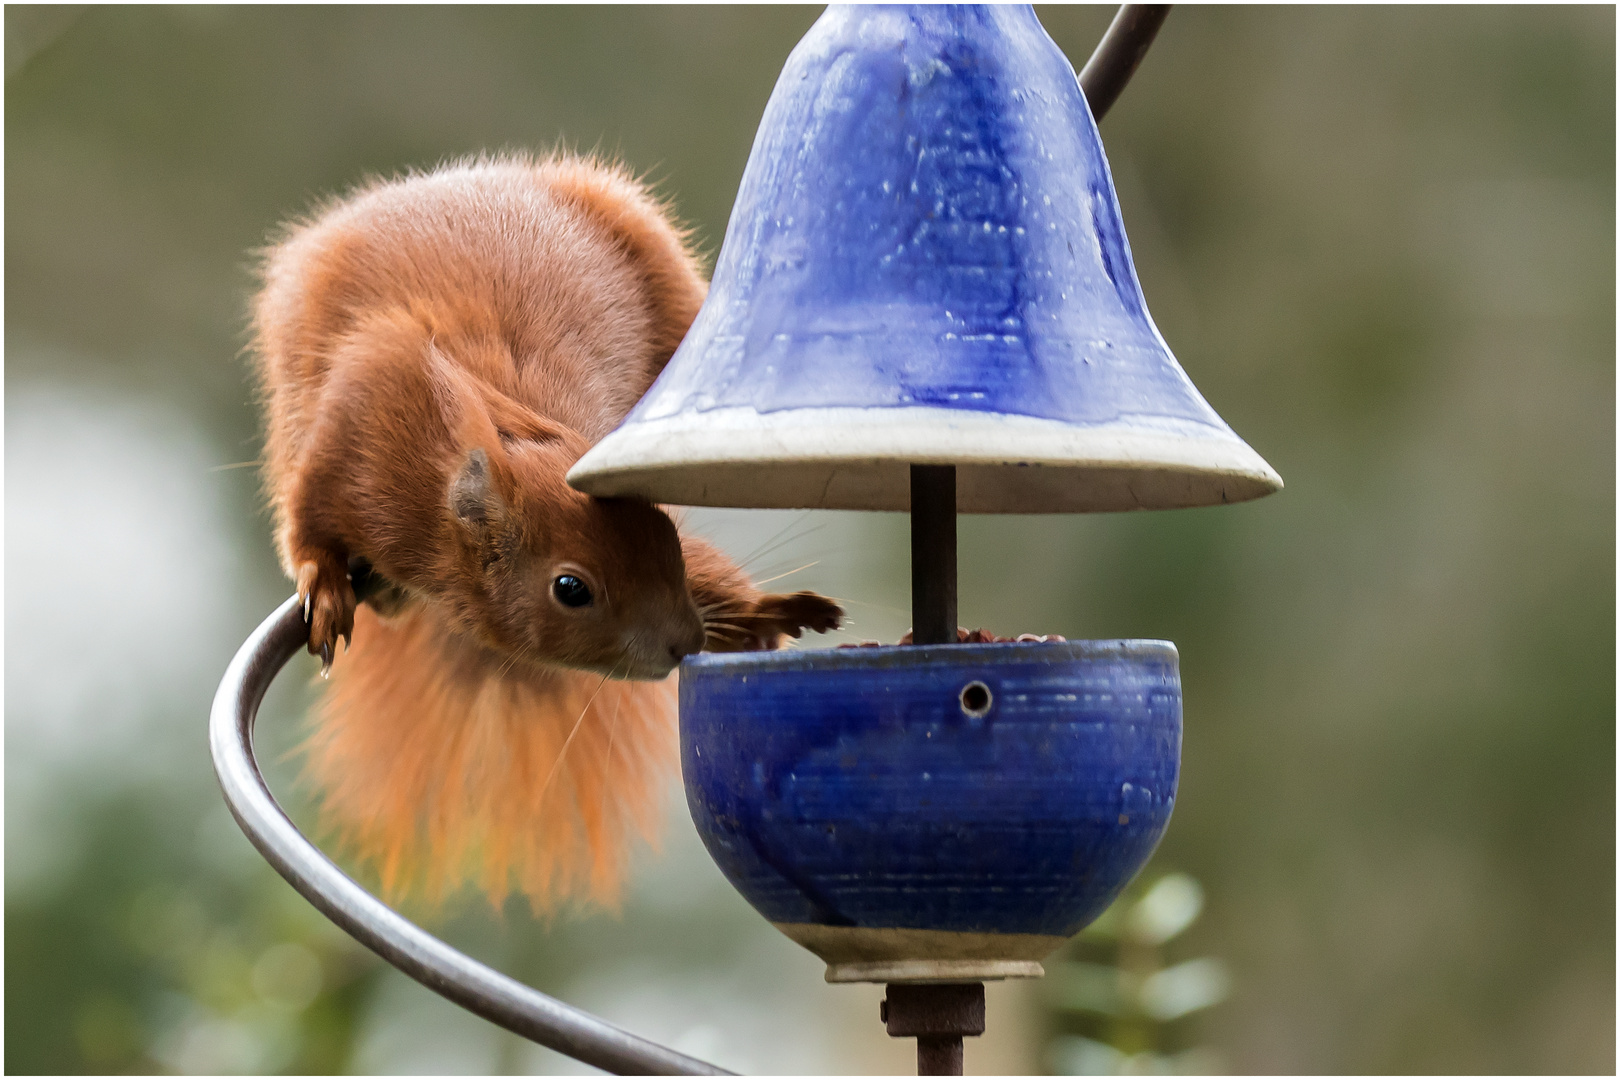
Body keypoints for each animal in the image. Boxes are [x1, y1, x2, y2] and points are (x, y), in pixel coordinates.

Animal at [249, 152, 848, 913]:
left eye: (668, 542)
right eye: (571, 589)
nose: (684, 642)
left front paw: (763, 614)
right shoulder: (353, 430)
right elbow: (308, 523)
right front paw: (324, 585)